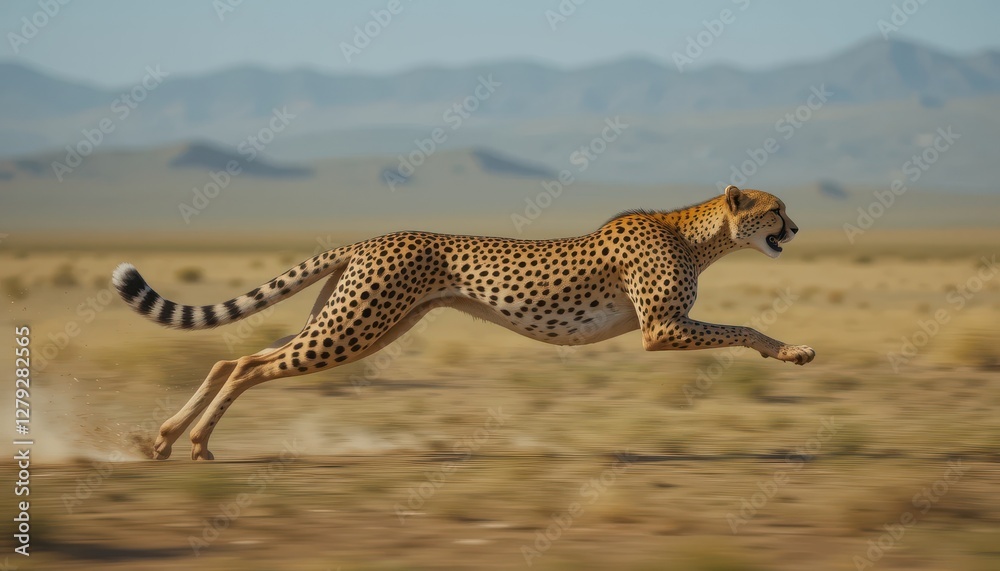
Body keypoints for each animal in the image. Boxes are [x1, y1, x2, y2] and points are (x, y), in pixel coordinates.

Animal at [112, 184, 815, 460]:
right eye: (776, 208)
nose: (797, 230)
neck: (696, 233)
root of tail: (373, 237)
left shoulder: (666, 326)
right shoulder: (662, 329)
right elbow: (744, 329)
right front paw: (793, 353)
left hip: (358, 324)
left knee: (233, 356)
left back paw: (168, 439)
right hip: (352, 330)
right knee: (248, 365)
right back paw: (196, 444)